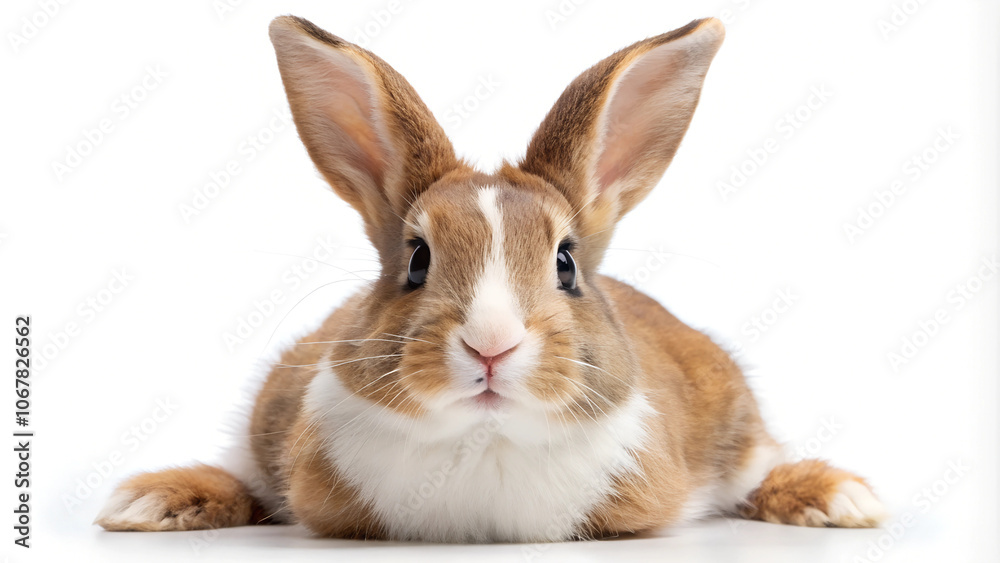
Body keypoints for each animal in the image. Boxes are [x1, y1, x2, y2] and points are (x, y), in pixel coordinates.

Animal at [95, 15, 887, 542]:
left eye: (566, 262)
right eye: (417, 259)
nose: (491, 345)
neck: (483, 441)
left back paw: (845, 500)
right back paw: (145, 504)